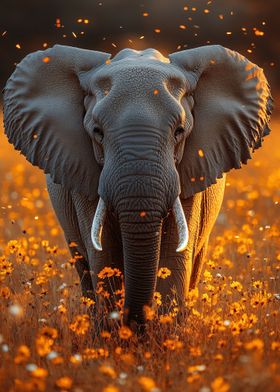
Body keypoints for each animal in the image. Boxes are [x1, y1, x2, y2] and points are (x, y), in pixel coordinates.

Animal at [2, 43, 272, 328]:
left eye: (179, 131)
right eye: (97, 132)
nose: (135, 323)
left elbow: (175, 258)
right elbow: (104, 255)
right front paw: (117, 332)